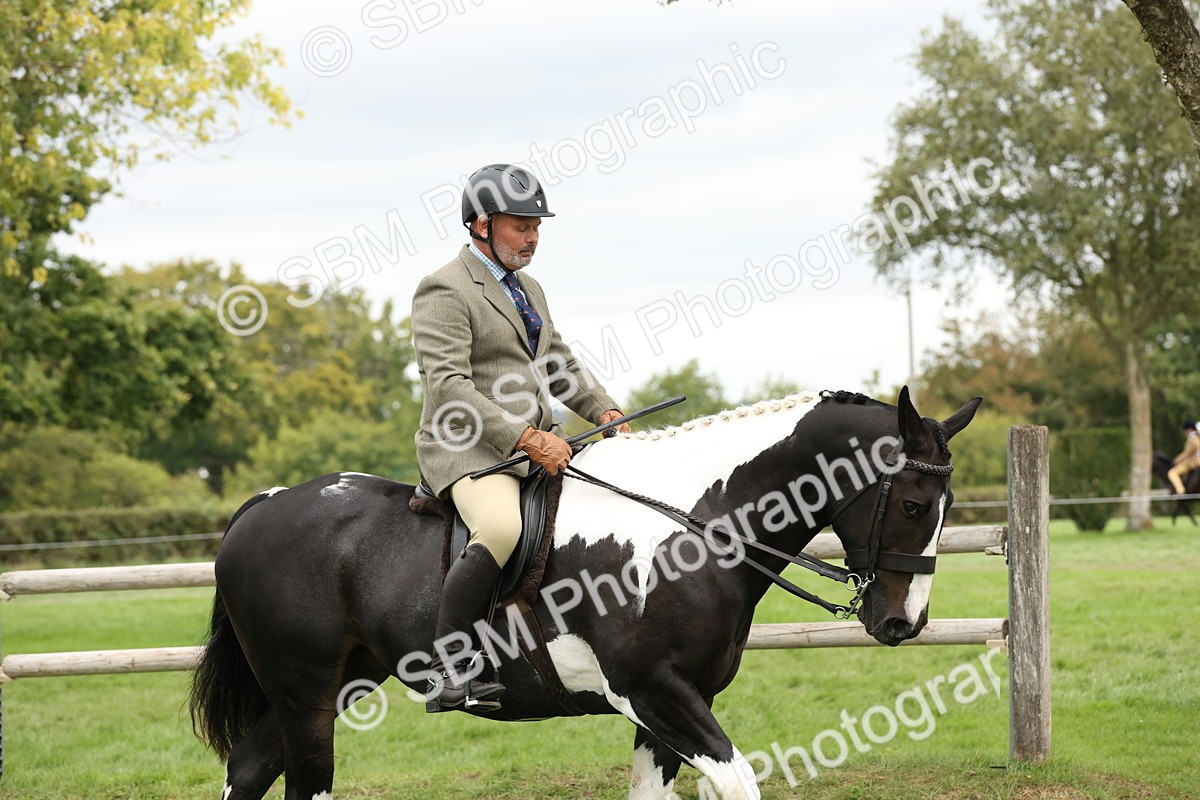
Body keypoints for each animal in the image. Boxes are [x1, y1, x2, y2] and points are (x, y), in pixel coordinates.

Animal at [188, 386, 982, 800]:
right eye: (915, 504)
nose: (904, 622)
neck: (693, 527)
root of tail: (263, 507)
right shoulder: (656, 692)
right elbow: (739, 785)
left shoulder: (673, 707)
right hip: (307, 694)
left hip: (338, 682)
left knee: (249, 768)